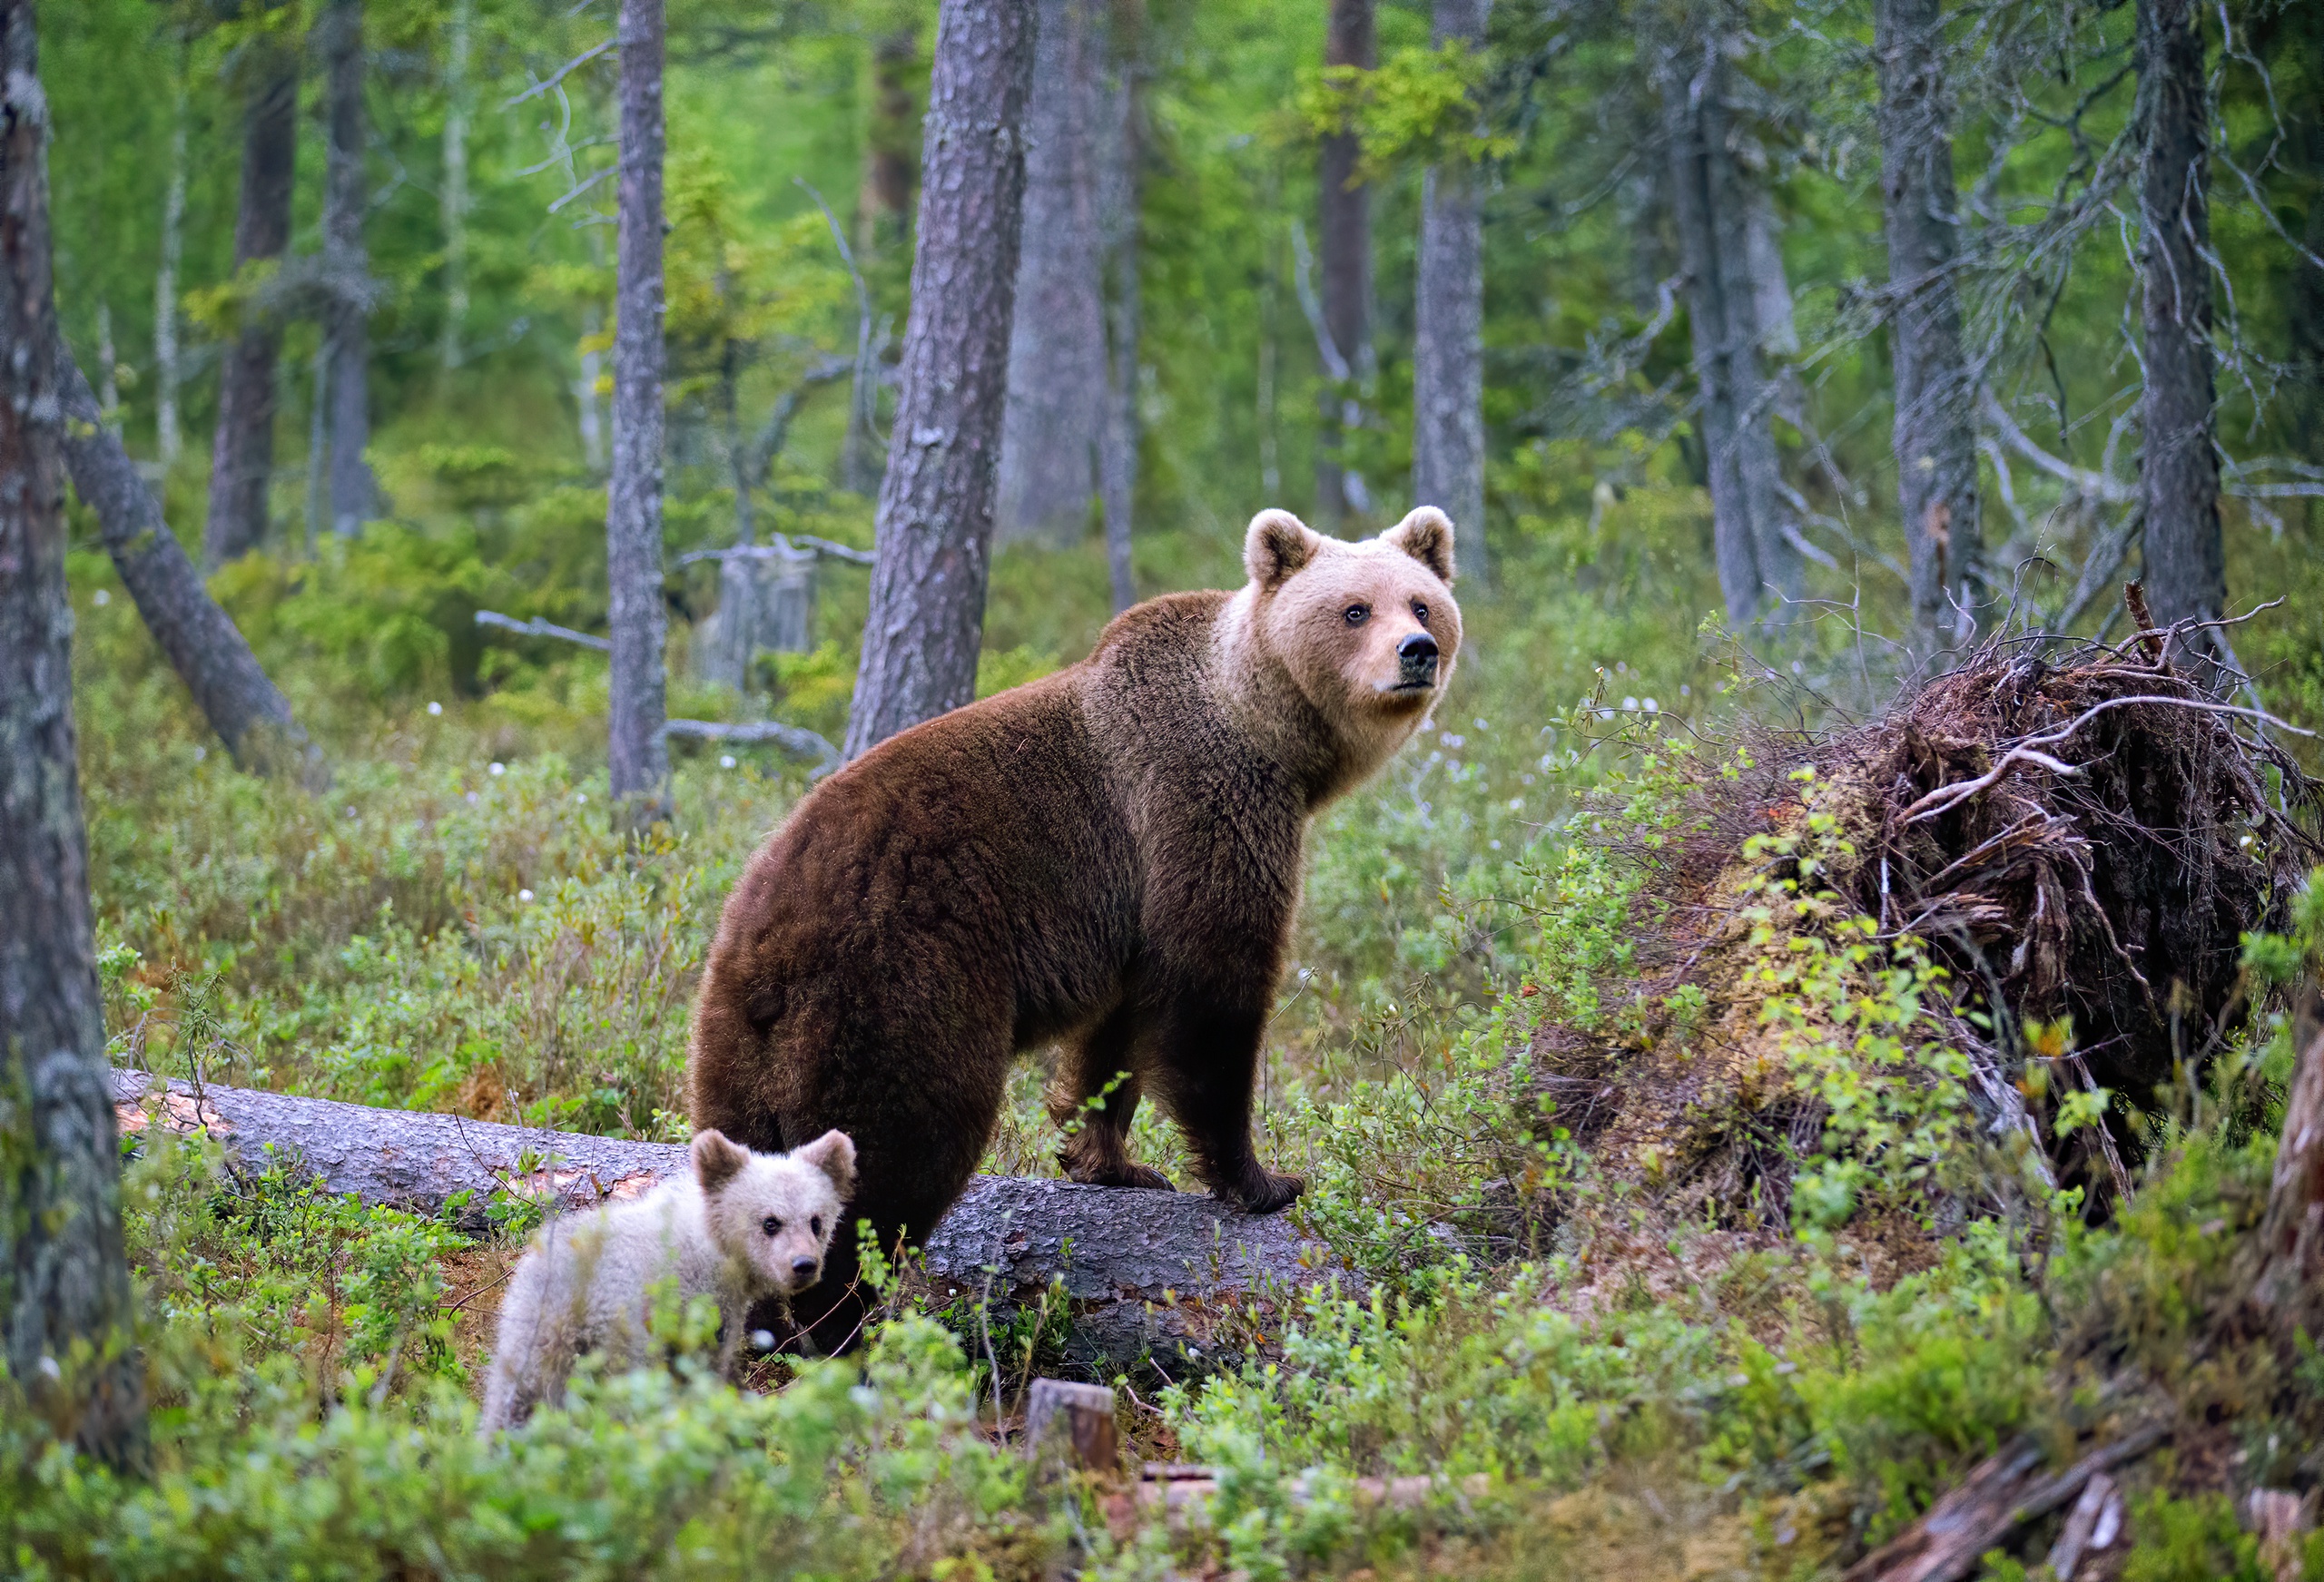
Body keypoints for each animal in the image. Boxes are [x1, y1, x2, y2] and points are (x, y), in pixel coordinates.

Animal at [678, 506, 1459, 1347]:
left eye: (1420, 602)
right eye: (1354, 609)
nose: (1418, 651)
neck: (1269, 734)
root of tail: (765, 938)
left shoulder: (1130, 910)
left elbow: (1116, 1036)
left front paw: (1111, 1159)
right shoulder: (1201, 809)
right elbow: (1213, 994)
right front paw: (1264, 1179)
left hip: (736, 1044)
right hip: (897, 990)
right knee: (895, 1152)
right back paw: (840, 1323)